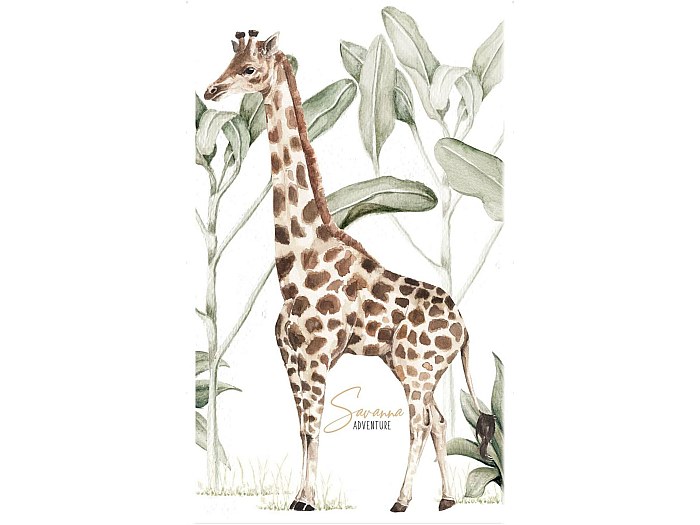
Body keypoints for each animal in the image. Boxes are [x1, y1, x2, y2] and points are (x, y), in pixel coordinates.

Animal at [204, 30, 494, 512]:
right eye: (227, 61)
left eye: (248, 69)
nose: (211, 91)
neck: (296, 257)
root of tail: (465, 328)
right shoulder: (291, 357)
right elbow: (303, 427)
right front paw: (298, 497)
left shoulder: (319, 353)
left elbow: (314, 425)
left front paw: (307, 500)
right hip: (413, 367)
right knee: (436, 419)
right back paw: (446, 498)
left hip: (418, 368)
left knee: (419, 422)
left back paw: (401, 500)